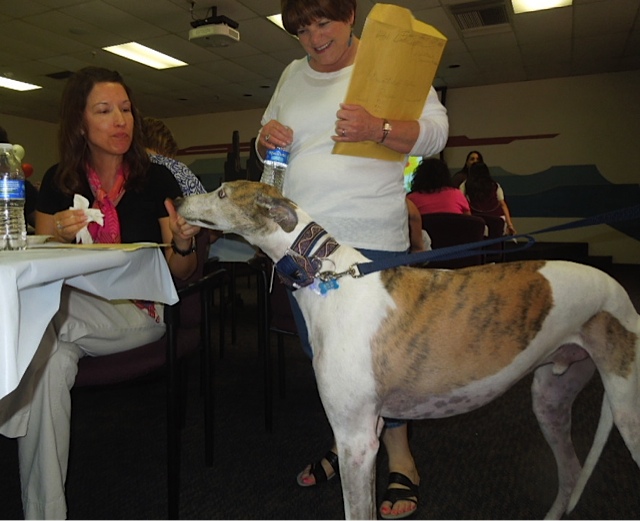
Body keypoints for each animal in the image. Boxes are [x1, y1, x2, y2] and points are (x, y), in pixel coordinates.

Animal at [178, 180, 640, 520]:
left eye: (222, 193)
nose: (179, 201)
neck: (328, 276)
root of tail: (619, 292)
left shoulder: (357, 442)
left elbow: (356, 512)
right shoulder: (368, 431)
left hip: (626, 411)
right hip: (551, 397)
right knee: (571, 473)